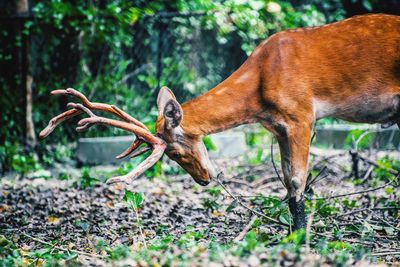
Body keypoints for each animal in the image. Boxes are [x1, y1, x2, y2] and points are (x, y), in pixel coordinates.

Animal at [40, 14, 400, 231]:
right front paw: (289, 233)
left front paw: (301, 237)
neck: (261, 89)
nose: (204, 179)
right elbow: (286, 180)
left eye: (174, 152)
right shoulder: (279, 126)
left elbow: (298, 181)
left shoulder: (302, 114)